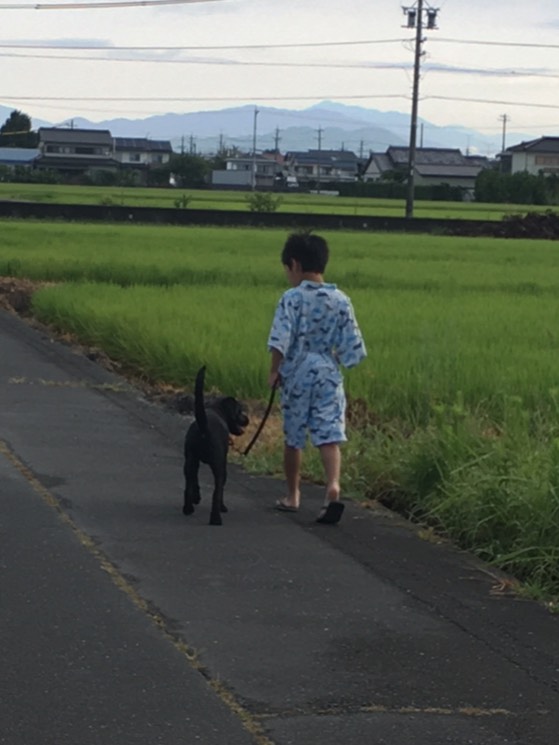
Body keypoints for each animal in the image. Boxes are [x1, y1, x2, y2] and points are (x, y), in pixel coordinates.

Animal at [183, 364, 248, 524]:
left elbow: (195, 481)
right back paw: (216, 518)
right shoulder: (222, 463)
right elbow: (220, 490)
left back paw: (188, 508)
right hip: (219, 466)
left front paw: (197, 497)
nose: (248, 419)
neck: (216, 409)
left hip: (190, 460)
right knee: (217, 491)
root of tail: (204, 428)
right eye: (239, 411)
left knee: (189, 484)